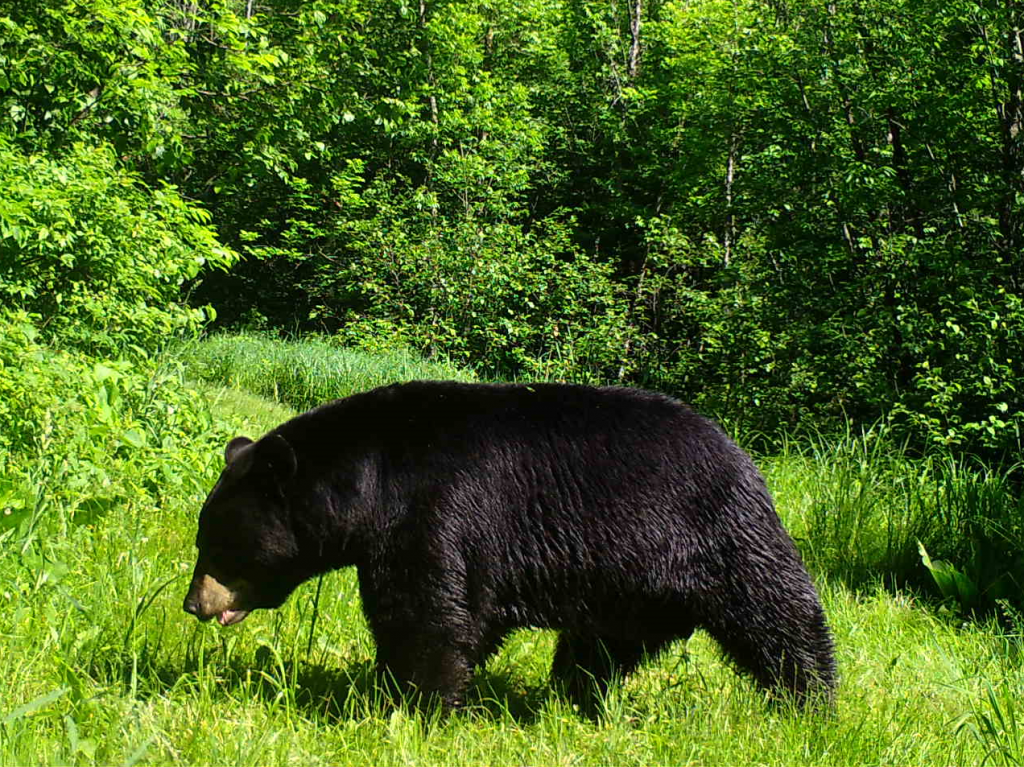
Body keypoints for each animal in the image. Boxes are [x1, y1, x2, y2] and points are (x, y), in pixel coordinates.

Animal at [184, 380, 835, 708]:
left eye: (216, 545)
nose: (194, 603)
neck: (372, 477)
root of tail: (746, 458)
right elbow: (464, 617)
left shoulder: (437, 509)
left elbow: (425, 613)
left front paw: (409, 702)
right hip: (630, 585)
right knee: (601, 647)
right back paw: (571, 696)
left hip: (718, 535)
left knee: (779, 615)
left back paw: (811, 703)